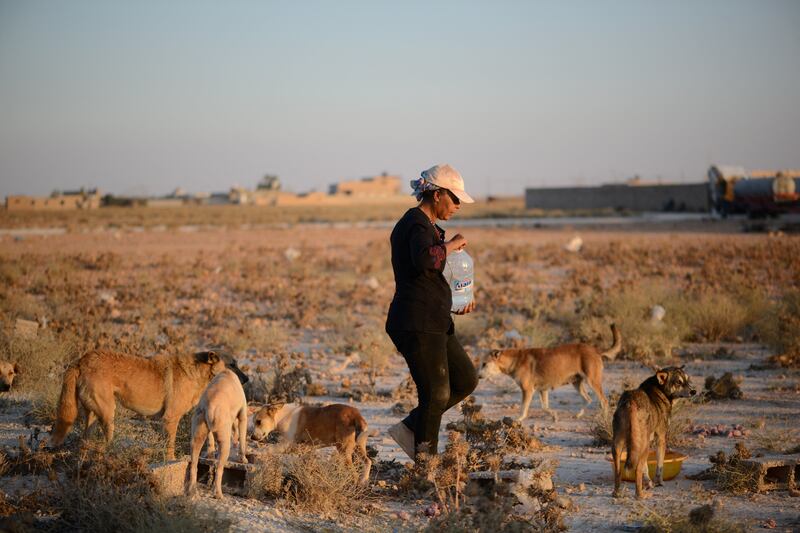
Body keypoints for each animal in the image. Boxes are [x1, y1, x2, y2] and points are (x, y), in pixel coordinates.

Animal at [49, 350, 247, 458]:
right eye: (232, 365)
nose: (247, 379)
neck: (197, 372)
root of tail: (81, 360)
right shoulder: (170, 419)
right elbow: (170, 446)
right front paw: (171, 460)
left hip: (93, 415)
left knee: (84, 440)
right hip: (108, 413)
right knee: (108, 439)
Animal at [188, 368, 250, 496]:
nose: (247, 379)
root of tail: (211, 406)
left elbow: (210, 441)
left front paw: (210, 454)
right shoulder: (243, 417)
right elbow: (242, 442)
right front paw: (243, 459)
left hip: (196, 438)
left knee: (194, 466)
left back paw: (192, 490)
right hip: (224, 445)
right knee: (219, 470)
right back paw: (218, 494)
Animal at [478, 322, 620, 422]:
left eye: (484, 363)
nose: (478, 376)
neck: (516, 360)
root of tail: (596, 350)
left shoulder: (527, 390)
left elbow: (524, 409)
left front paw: (518, 419)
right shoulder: (543, 390)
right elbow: (545, 407)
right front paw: (554, 416)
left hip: (592, 381)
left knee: (603, 401)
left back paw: (603, 419)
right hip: (576, 383)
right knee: (588, 399)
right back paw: (578, 415)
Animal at [612, 366, 692, 498]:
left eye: (687, 380)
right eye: (678, 382)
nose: (693, 391)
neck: (660, 390)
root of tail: (630, 401)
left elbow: (646, 469)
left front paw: (649, 483)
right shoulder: (661, 438)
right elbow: (659, 465)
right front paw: (659, 482)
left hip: (619, 445)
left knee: (618, 471)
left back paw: (616, 493)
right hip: (644, 446)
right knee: (637, 470)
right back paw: (641, 495)